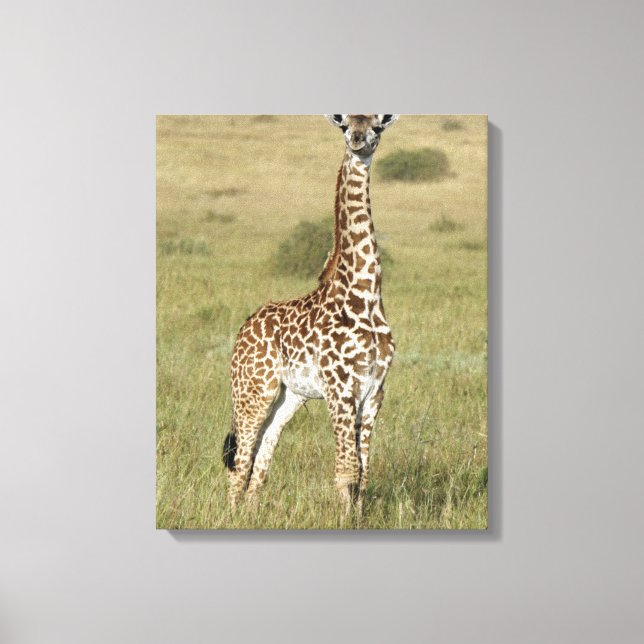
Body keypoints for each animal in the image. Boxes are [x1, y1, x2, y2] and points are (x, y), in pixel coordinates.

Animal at [222, 114, 399, 514]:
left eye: (378, 125)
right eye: (345, 124)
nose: (359, 140)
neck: (365, 295)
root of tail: (243, 329)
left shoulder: (375, 390)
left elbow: (364, 470)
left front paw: (359, 517)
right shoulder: (340, 388)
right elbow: (346, 469)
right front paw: (344, 520)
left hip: (289, 397)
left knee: (262, 453)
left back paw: (250, 512)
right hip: (253, 390)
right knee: (240, 459)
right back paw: (229, 513)